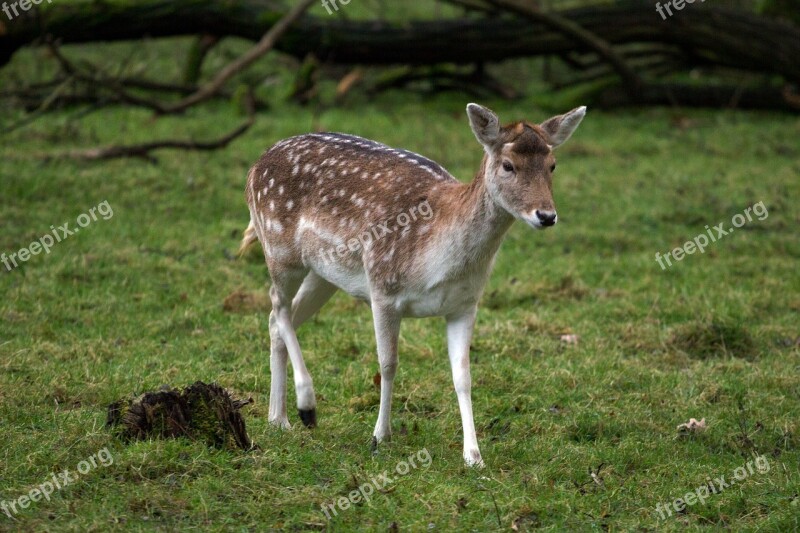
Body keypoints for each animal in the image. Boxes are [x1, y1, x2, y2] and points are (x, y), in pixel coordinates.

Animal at [241, 104, 584, 466]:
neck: (440, 263)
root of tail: (253, 168)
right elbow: (388, 364)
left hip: (324, 274)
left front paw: (473, 456)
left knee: (278, 318)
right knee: (277, 306)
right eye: (508, 165)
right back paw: (306, 406)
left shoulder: (465, 304)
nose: (546, 215)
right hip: (279, 248)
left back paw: (278, 418)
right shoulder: (383, 288)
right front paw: (380, 436)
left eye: (553, 165)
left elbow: (463, 377)